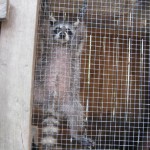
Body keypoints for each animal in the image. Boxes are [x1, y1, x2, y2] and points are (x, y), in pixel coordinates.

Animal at [33, 14, 94, 149]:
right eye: (58, 29)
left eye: (68, 31)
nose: (62, 34)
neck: (61, 44)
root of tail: (54, 105)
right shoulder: (48, 46)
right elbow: (44, 32)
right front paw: (47, 17)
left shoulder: (73, 48)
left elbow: (80, 35)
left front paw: (80, 22)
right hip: (38, 90)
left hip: (70, 101)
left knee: (76, 113)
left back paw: (75, 133)